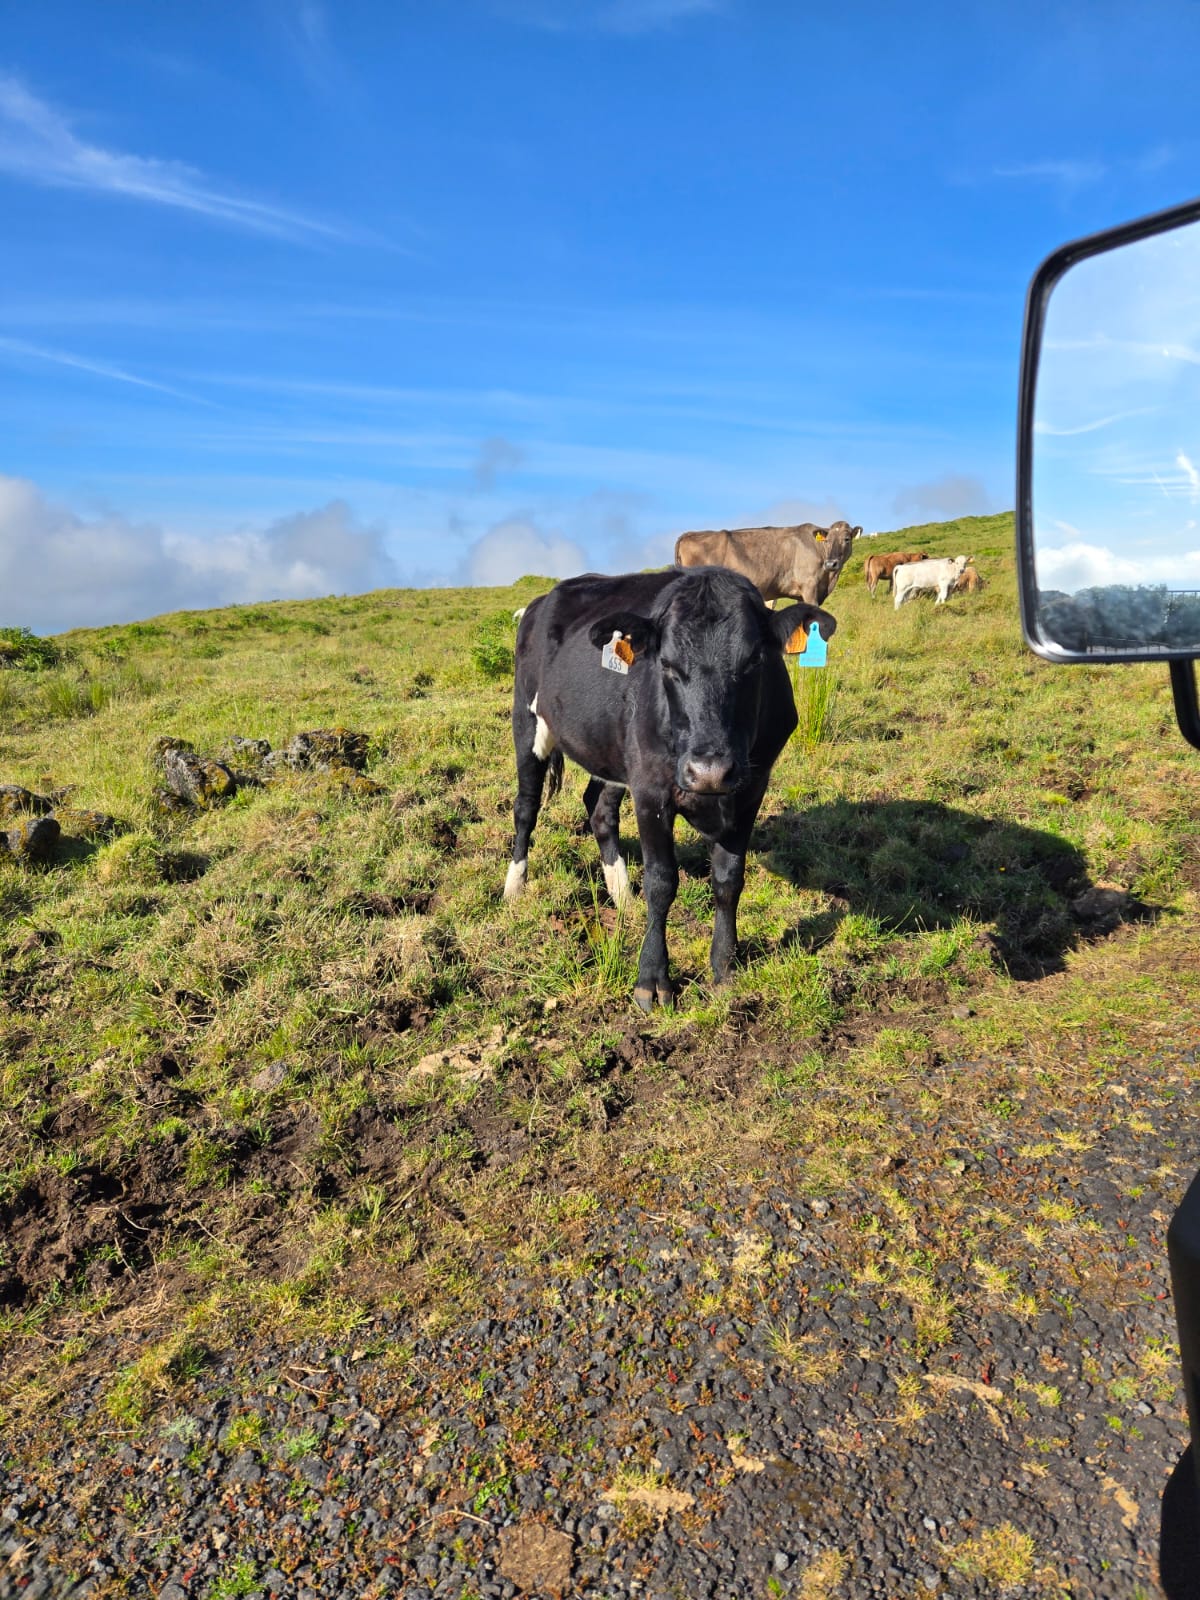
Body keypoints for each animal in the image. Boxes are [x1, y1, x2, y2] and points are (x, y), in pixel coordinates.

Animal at [504, 567, 837, 1010]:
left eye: (754, 661)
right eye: (666, 664)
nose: (709, 771)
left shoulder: (751, 789)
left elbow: (729, 879)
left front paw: (725, 966)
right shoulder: (650, 791)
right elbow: (662, 883)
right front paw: (652, 979)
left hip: (611, 752)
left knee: (599, 810)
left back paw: (622, 894)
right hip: (527, 721)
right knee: (526, 808)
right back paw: (514, 886)